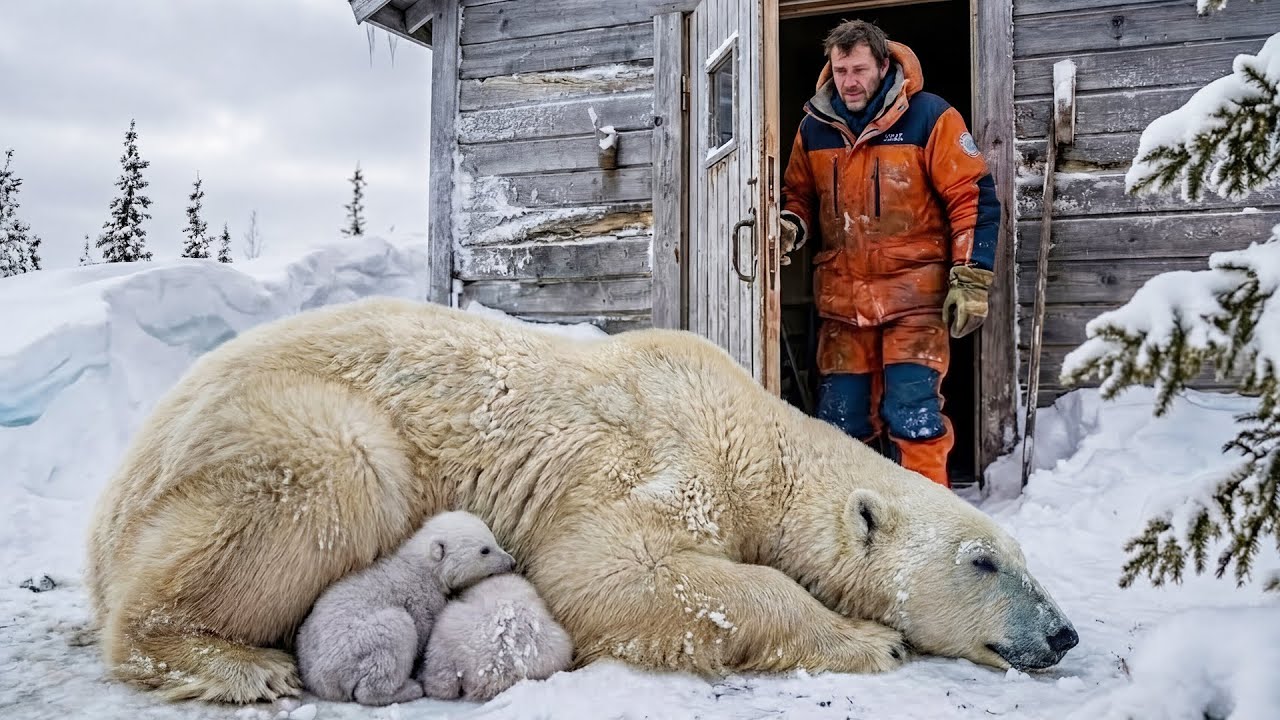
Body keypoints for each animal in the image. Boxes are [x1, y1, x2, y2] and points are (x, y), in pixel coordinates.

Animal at [294, 511, 515, 705]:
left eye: (493, 539)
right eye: (485, 550)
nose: (512, 562)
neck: (421, 566)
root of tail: (322, 681)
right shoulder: (421, 598)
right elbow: (423, 627)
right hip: (358, 646)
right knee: (391, 639)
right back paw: (409, 689)